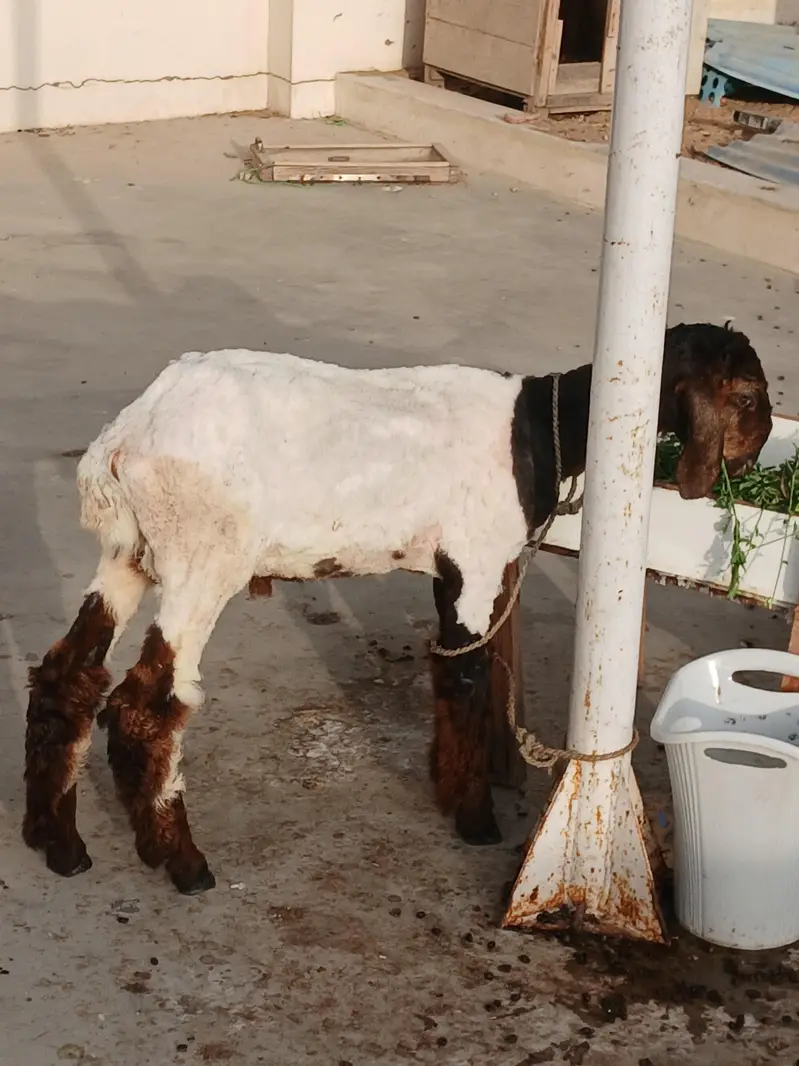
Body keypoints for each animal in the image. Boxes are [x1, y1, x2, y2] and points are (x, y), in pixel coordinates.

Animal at [23, 322, 773, 895]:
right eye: (747, 393)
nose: (753, 457)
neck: (539, 426)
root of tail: (124, 440)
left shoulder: (451, 572)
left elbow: (448, 675)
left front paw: (450, 788)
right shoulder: (476, 563)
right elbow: (470, 681)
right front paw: (476, 821)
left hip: (128, 555)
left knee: (67, 675)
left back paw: (56, 842)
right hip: (201, 557)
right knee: (148, 704)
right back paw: (178, 860)